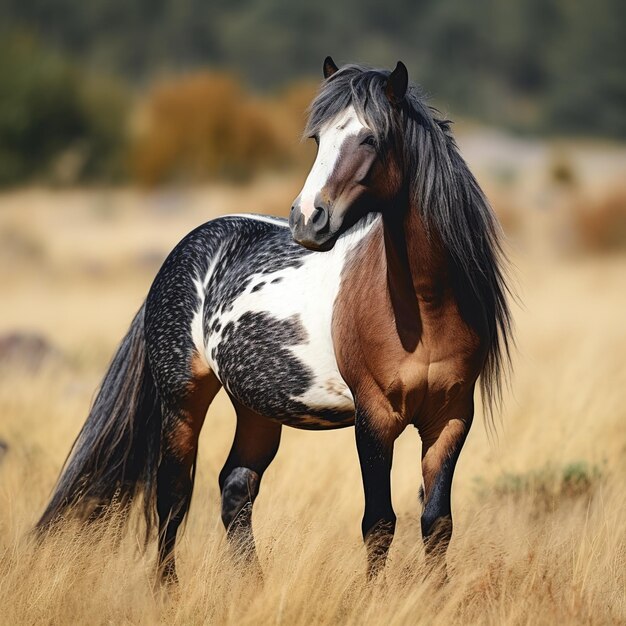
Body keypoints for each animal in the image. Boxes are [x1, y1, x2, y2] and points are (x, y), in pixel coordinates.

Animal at [36, 57, 510, 580]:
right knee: (173, 496)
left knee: (235, 487)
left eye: (370, 138)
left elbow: (437, 522)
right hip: (183, 402)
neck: (424, 309)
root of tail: (183, 250)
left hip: (256, 409)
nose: (308, 218)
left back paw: (253, 586)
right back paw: (169, 589)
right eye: (317, 139)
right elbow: (379, 523)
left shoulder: (451, 417)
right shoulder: (374, 418)